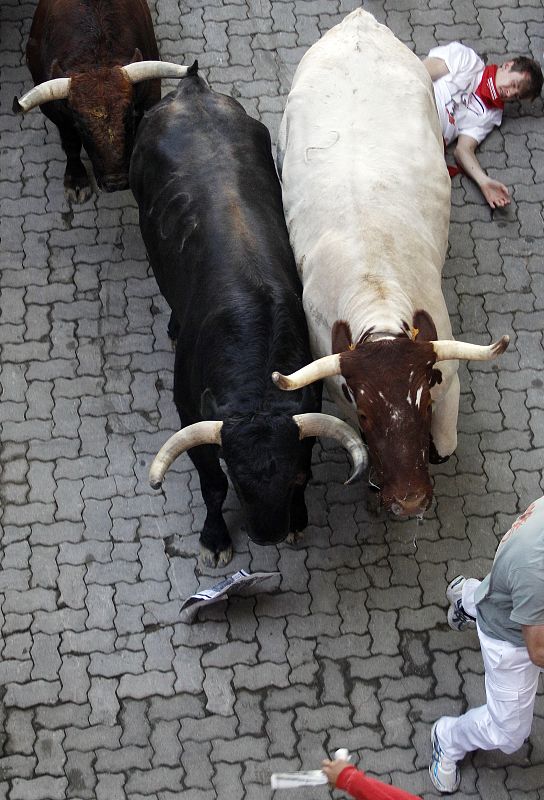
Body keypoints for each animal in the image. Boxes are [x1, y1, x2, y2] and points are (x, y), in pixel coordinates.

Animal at [14, 0, 191, 202]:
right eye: (81, 127)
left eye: (129, 118)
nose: (116, 182)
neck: (97, 58)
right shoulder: (55, 113)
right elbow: (71, 144)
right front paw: (76, 181)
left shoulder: (150, 96)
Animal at [129, 63, 368, 567]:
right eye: (240, 481)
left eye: (293, 479)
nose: (268, 535)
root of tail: (192, 88)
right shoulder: (189, 413)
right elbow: (211, 485)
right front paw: (215, 538)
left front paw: (298, 519)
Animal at [273, 9, 509, 519]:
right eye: (365, 412)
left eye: (423, 405)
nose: (410, 500)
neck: (374, 285)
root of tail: (357, 22)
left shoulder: (448, 381)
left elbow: (444, 445)